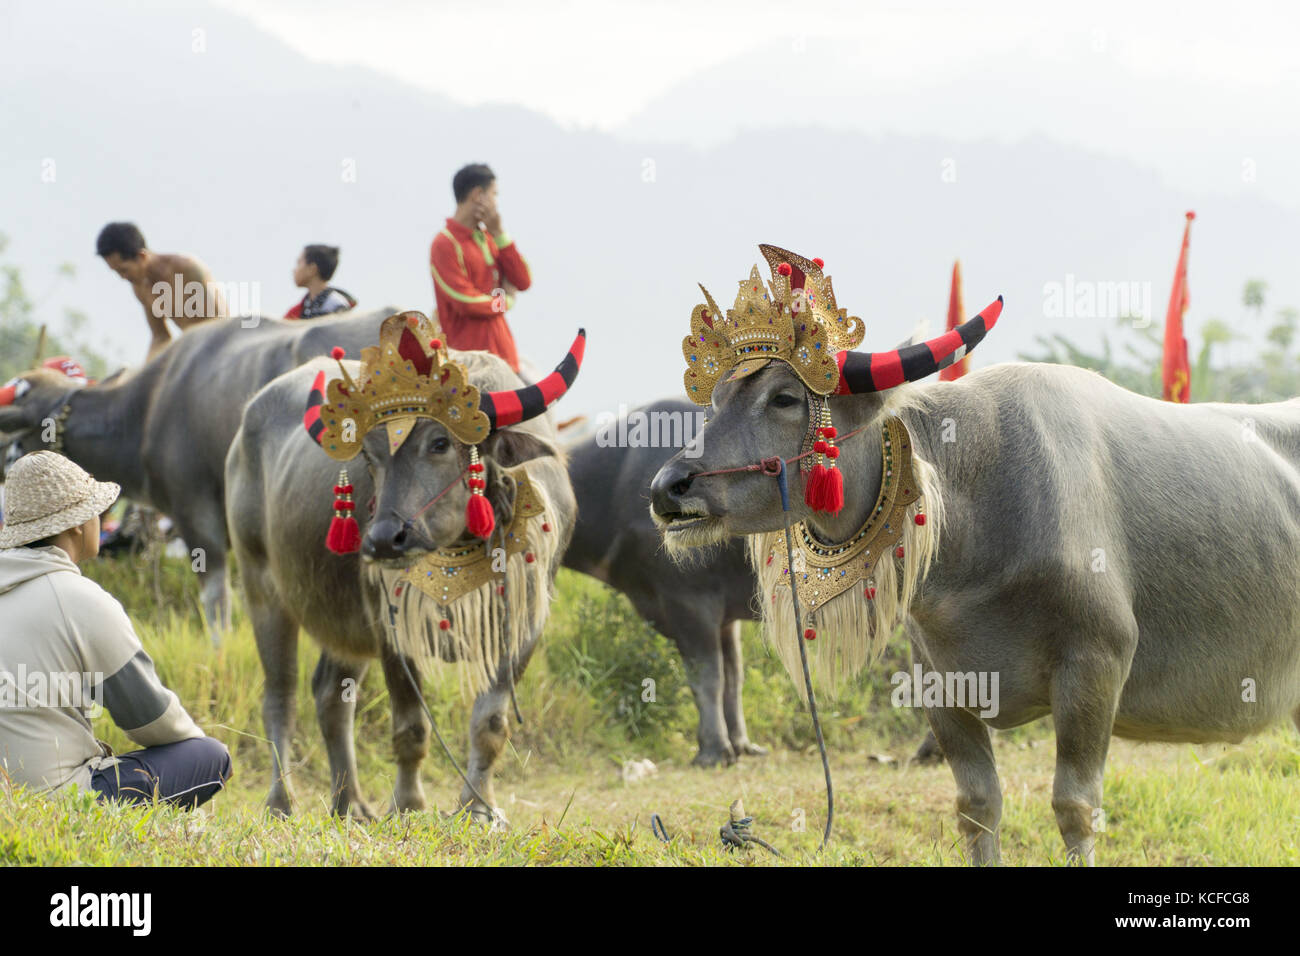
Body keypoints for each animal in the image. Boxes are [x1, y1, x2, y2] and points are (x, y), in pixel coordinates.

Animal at [226, 316, 582, 822]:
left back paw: (350, 804)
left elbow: (491, 722)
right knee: (281, 698)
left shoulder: (523, 622)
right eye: (369, 456)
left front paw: (478, 808)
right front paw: (408, 805)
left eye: (440, 443)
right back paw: (282, 803)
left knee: (329, 695)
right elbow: (411, 727)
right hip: (261, 587)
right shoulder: (390, 625)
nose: (381, 540)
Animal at [559, 400, 759, 764]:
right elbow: (733, 676)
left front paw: (713, 750)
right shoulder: (723, 619)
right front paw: (739, 744)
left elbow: (706, 677)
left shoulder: (688, 600)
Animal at [650, 247, 1300, 868]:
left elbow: (1075, 805)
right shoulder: (940, 684)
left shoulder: (1097, 662)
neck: (975, 529)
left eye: (784, 398)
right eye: (717, 400)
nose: (667, 488)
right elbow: (977, 806)